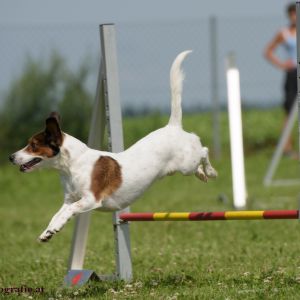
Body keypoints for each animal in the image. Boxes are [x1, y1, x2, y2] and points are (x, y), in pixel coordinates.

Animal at [8, 49, 216, 241]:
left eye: (33, 145)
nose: (10, 157)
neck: (73, 166)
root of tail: (172, 126)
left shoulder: (91, 199)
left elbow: (70, 210)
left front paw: (54, 228)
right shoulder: (69, 199)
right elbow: (58, 214)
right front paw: (48, 231)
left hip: (187, 163)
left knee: (203, 150)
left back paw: (211, 171)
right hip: (183, 168)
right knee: (198, 162)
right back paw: (202, 174)